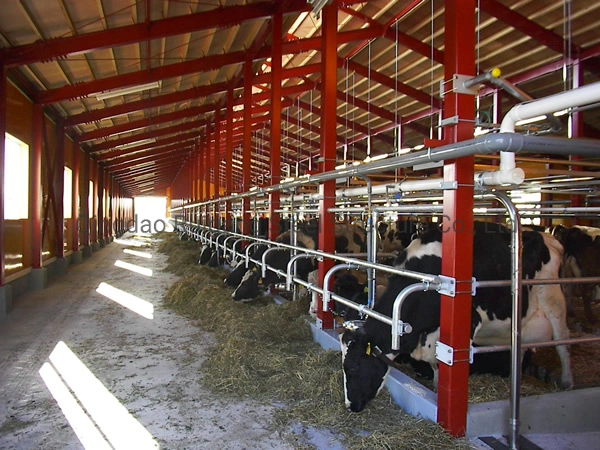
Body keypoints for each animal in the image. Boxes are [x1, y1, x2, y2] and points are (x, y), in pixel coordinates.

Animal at [342, 221, 572, 412]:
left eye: (352, 367)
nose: (351, 406)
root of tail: (548, 238)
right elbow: (434, 362)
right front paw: (437, 388)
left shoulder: (470, 321)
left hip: (553, 300)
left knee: (563, 342)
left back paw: (567, 383)